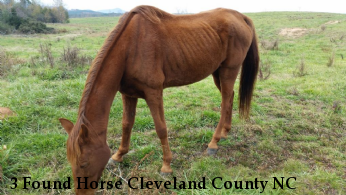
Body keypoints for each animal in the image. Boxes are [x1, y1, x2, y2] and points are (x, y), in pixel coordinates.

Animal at [59, 4, 258, 195]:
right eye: (70, 161)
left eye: (83, 163)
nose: (82, 193)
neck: (129, 48)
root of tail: (241, 17)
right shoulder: (128, 94)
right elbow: (126, 124)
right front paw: (118, 156)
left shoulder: (154, 93)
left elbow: (161, 129)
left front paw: (166, 166)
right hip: (217, 72)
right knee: (229, 98)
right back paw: (225, 132)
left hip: (228, 71)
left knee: (224, 102)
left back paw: (214, 143)